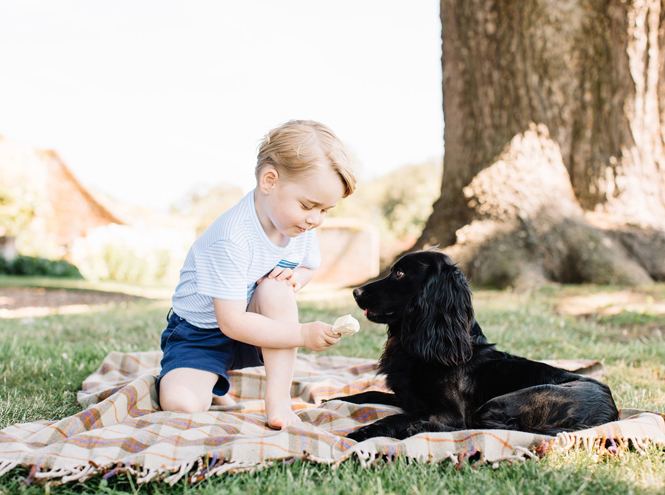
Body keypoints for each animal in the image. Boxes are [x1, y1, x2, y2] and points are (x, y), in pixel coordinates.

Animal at [334, 252, 620, 442]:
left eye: (400, 273)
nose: (356, 292)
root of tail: (611, 414)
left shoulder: (449, 410)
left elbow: (400, 417)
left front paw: (365, 431)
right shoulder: (409, 399)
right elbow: (368, 394)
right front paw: (334, 399)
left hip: (501, 403)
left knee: (484, 427)